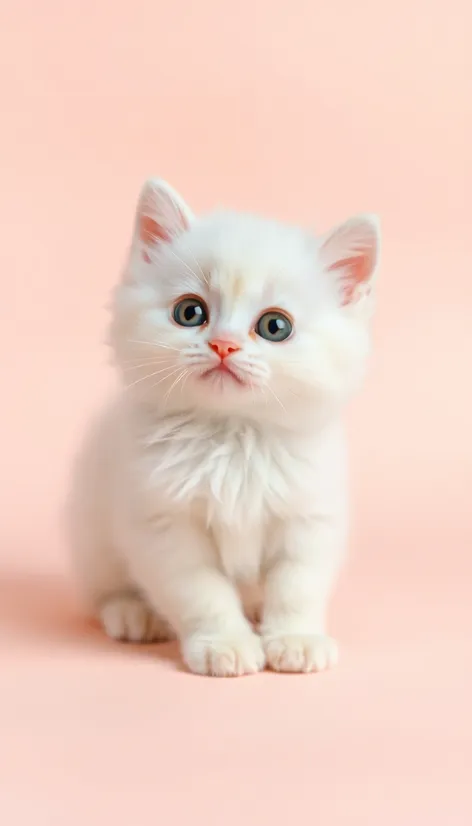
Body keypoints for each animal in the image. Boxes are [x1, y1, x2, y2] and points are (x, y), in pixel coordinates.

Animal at [66, 177, 380, 672]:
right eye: (190, 312)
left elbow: (296, 586)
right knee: (104, 588)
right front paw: (224, 645)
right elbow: (201, 592)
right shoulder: (163, 524)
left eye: (275, 326)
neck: (234, 436)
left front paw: (296, 639)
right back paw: (133, 613)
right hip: (91, 533)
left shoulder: (308, 517)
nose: (223, 345)